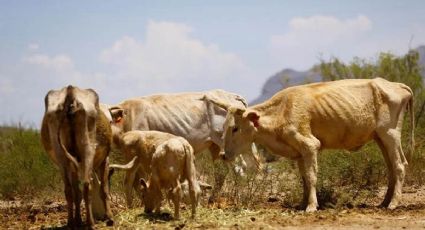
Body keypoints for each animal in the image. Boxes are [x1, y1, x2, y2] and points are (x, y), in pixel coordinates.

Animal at [40, 86, 113, 226]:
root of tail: (70, 91)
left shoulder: (73, 167)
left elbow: (76, 193)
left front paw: (78, 219)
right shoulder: (105, 160)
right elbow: (104, 189)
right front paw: (109, 217)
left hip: (61, 155)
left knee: (69, 190)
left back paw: (71, 222)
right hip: (88, 148)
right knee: (87, 185)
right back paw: (90, 223)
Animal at [105, 89, 258, 204]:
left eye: (109, 120)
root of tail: (233, 95)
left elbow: (138, 180)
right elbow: (136, 181)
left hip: (230, 145)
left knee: (241, 168)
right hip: (215, 146)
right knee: (222, 172)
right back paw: (212, 199)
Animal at [207, 78, 412, 212]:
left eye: (235, 128)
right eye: (224, 127)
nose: (223, 155)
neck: (281, 112)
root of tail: (395, 84)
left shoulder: (310, 145)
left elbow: (312, 176)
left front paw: (312, 206)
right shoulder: (299, 152)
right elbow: (304, 178)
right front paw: (302, 203)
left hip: (390, 134)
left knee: (400, 165)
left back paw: (393, 204)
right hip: (380, 138)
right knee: (391, 168)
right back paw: (384, 202)